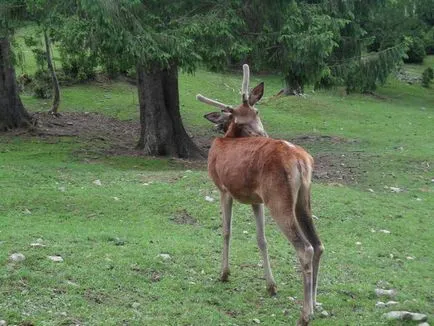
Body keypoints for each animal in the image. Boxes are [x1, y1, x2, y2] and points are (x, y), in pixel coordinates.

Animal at [196, 64, 322, 326]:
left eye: (256, 111)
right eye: (242, 117)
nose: (262, 134)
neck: (226, 139)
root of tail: (301, 160)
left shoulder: (223, 188)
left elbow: (226, 231)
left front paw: (224, 273)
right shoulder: (257, 200)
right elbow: (261, 239)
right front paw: (271, 286)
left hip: (279, 199)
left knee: (304, 248)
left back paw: (304, 314)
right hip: (303, 200)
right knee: (318, 244)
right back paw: (315, 304)